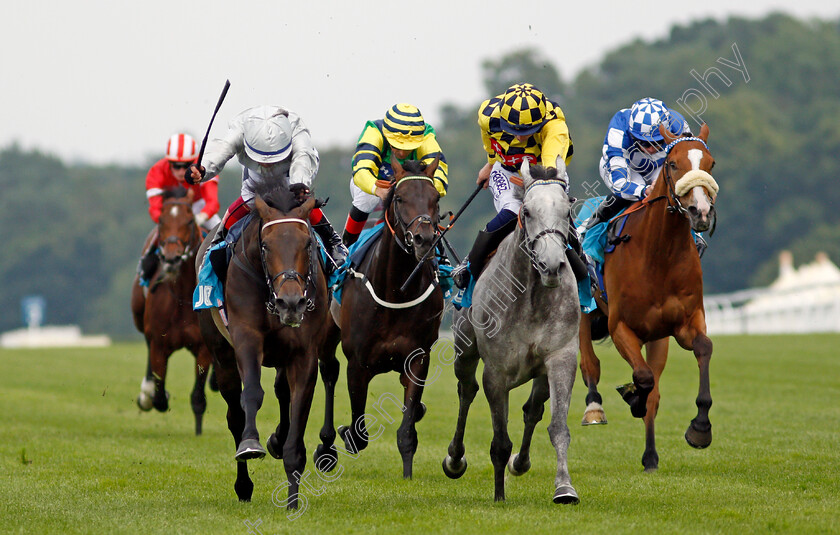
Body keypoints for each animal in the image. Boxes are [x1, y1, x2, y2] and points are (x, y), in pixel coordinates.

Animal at [130, 187, 213, 436]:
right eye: (161, 220)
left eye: (189, 220)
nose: (171, 258)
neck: (184, 297)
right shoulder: (159, 342)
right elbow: (159, 395)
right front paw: (152, 394)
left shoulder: (203, 349)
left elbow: (198, 397)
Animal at [197, 183, 342, 506]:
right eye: (265, 246)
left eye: (307, 244)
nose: (291, 302)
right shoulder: (247, 338)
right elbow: (252, 392)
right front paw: (252, 444)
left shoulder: (303, 352)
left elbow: (298, 407)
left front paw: (292, 500)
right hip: (222, 353)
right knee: (234, 415)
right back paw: (243, 484)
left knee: (287, 388)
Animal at [330, 157, 446, 480]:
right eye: (400, 198)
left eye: (436, 199)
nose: (424, 239)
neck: (395, 290)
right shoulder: (357, 363)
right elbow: (358, 434)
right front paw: (345, 433)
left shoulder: (417, 358)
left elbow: (407, 431)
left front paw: (407, 475)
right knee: (327, 372)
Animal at [442, 157, 580, 504]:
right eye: (527, 212)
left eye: (567, 211)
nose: (551, 265)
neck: (530, 294)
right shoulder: (497, 371)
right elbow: (500, 441)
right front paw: (499, 496)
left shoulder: (561, 357)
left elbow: (558, 427)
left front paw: (564, 488)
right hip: (464, 351)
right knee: (466, 391)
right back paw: (455, 458)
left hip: (540, 373)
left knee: (533, 409)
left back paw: (521, 462)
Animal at [580, 123, 720, 472]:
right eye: (673, 164)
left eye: (710, 164)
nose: (700, 212)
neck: (659, 254)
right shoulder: (620, 326)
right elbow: (642, 377)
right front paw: (632, 398)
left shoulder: (684, 323)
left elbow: (702, 348)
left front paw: (700, 428)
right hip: (583, 311)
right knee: (590, 365)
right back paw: (594, 408)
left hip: (658, 337)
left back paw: (650, 456)